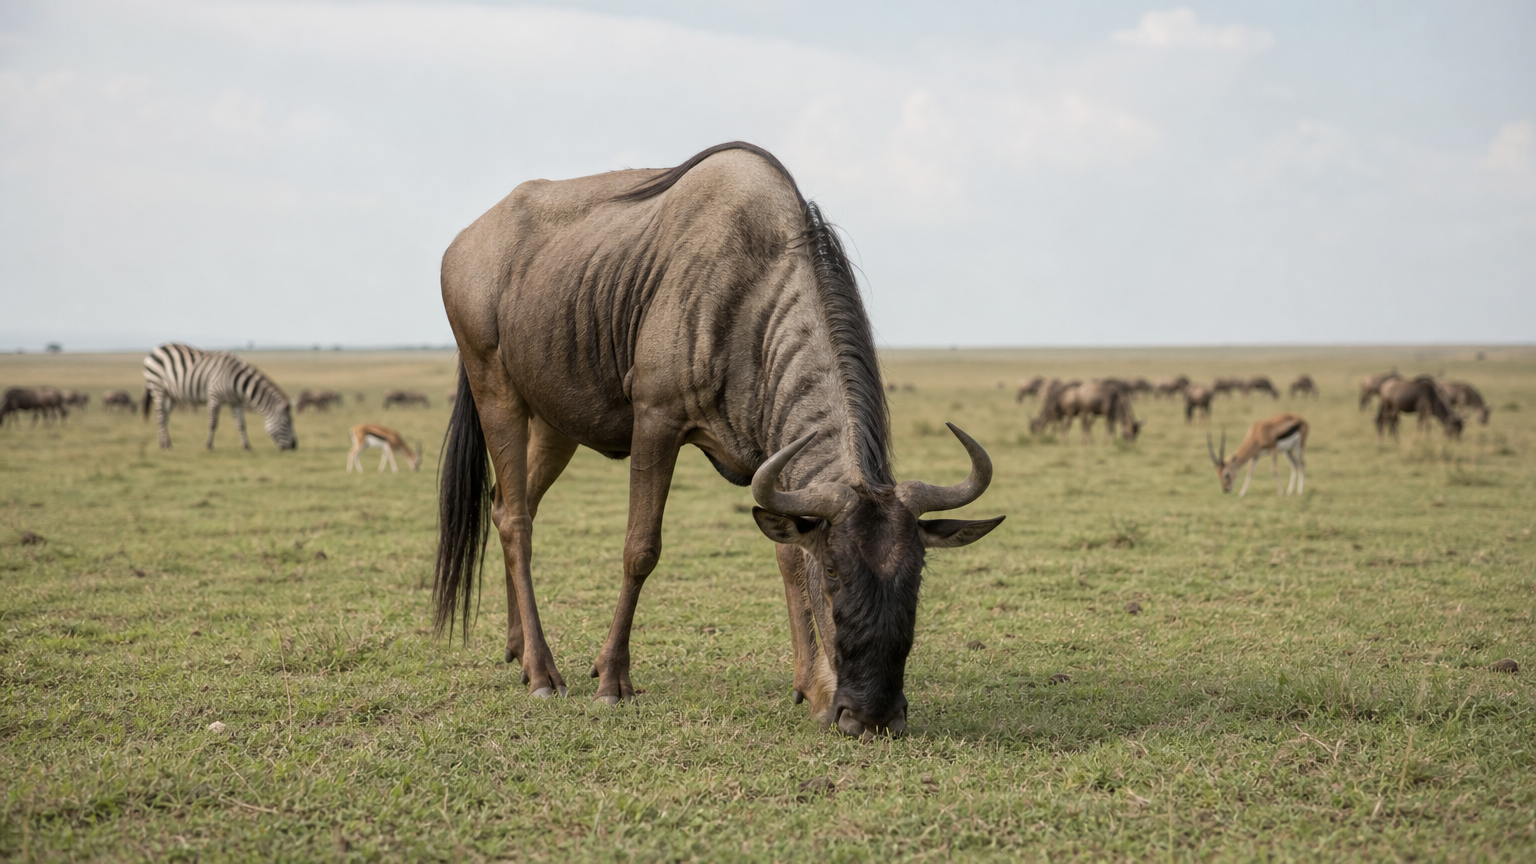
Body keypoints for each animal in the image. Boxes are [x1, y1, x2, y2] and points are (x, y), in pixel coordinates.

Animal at [141, 343, 297, 451]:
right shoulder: (214, 396)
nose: (294, 446)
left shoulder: (235, 401)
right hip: (157, 387)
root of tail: (157, 349)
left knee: (164, 416)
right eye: (287, 422)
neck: (236, 380)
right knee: (160, 415)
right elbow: (213, 423)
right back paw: (165, 446)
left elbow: (241, 424)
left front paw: (247, 446)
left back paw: (164, 443)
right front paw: (208, 446)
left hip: (171, 394)